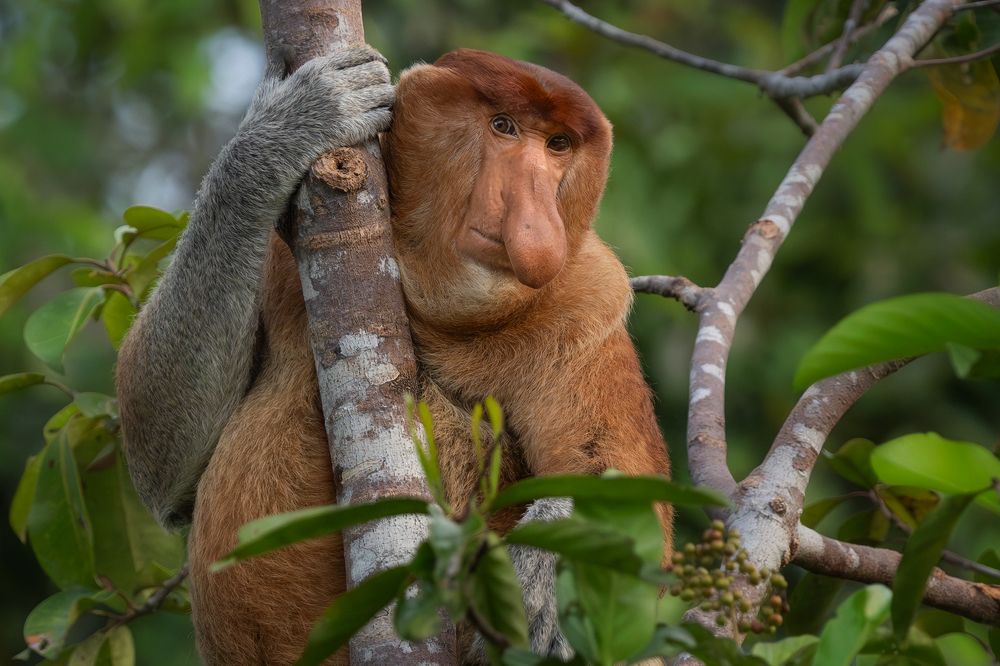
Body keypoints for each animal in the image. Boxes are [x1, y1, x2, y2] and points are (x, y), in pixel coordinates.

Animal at [116, 46, 672, 665]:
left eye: (558, 146)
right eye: (503, 126)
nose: (534, 220)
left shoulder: (587, 307)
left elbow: (630, 490)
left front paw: (546, 570)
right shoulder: (285, 253)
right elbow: (164, 467)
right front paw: (291, 124)